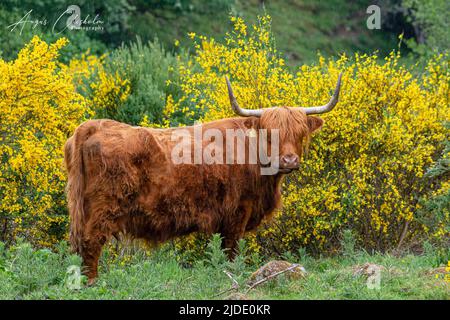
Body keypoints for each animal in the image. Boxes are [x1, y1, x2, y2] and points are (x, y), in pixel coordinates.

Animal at [64, 74, 342, 282]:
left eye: (300, 133)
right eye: (269, 133)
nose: (289, 160)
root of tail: (93, 125)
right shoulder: (236, 215)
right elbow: (231, 253)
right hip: (102, 210)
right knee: (91, 245)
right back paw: (92, 283)